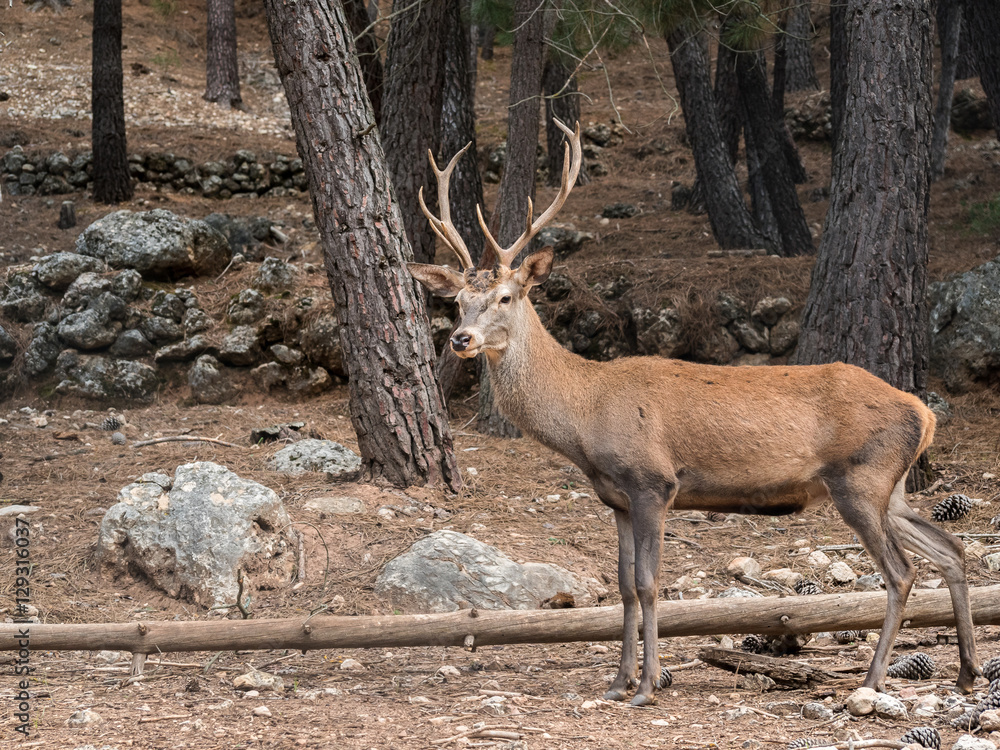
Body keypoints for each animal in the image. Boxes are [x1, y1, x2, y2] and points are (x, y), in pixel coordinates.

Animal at [407, 119, 980, 706]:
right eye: (458, 302)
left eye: (505, 296)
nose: (460, 339)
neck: (584, 416)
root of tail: (925, 413)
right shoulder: (616, 498)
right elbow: (623, 586)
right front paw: (618, 682)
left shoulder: (653, 482)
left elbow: (648, 583)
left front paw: (646, 686)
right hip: (892, 487)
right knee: (952, 549)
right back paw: (965, 670)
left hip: (861, 478)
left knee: (903, 572)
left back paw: (871, 679)